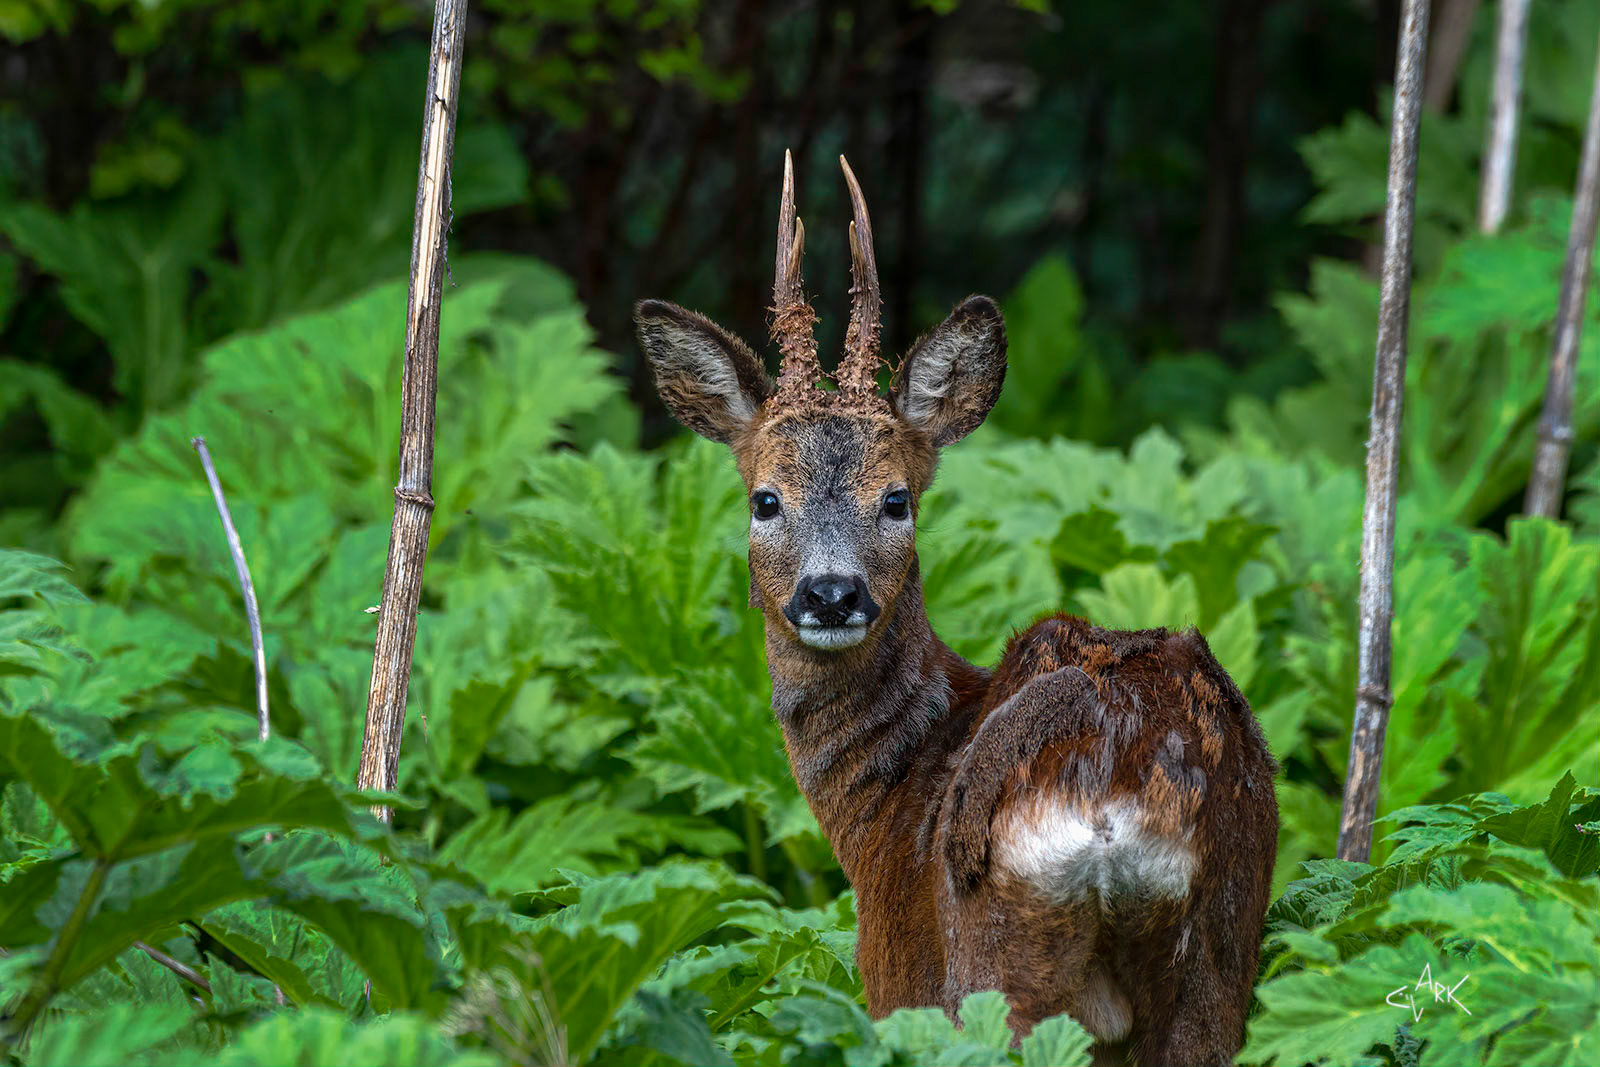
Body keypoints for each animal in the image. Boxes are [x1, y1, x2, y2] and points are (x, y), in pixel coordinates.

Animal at [633, 152, 1279, 1066]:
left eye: (896, 498)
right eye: (766, 499)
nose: (831, 592)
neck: (889, 795)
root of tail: (1114, 785)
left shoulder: (892, 970)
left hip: (994, 961)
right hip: (1223, 942)